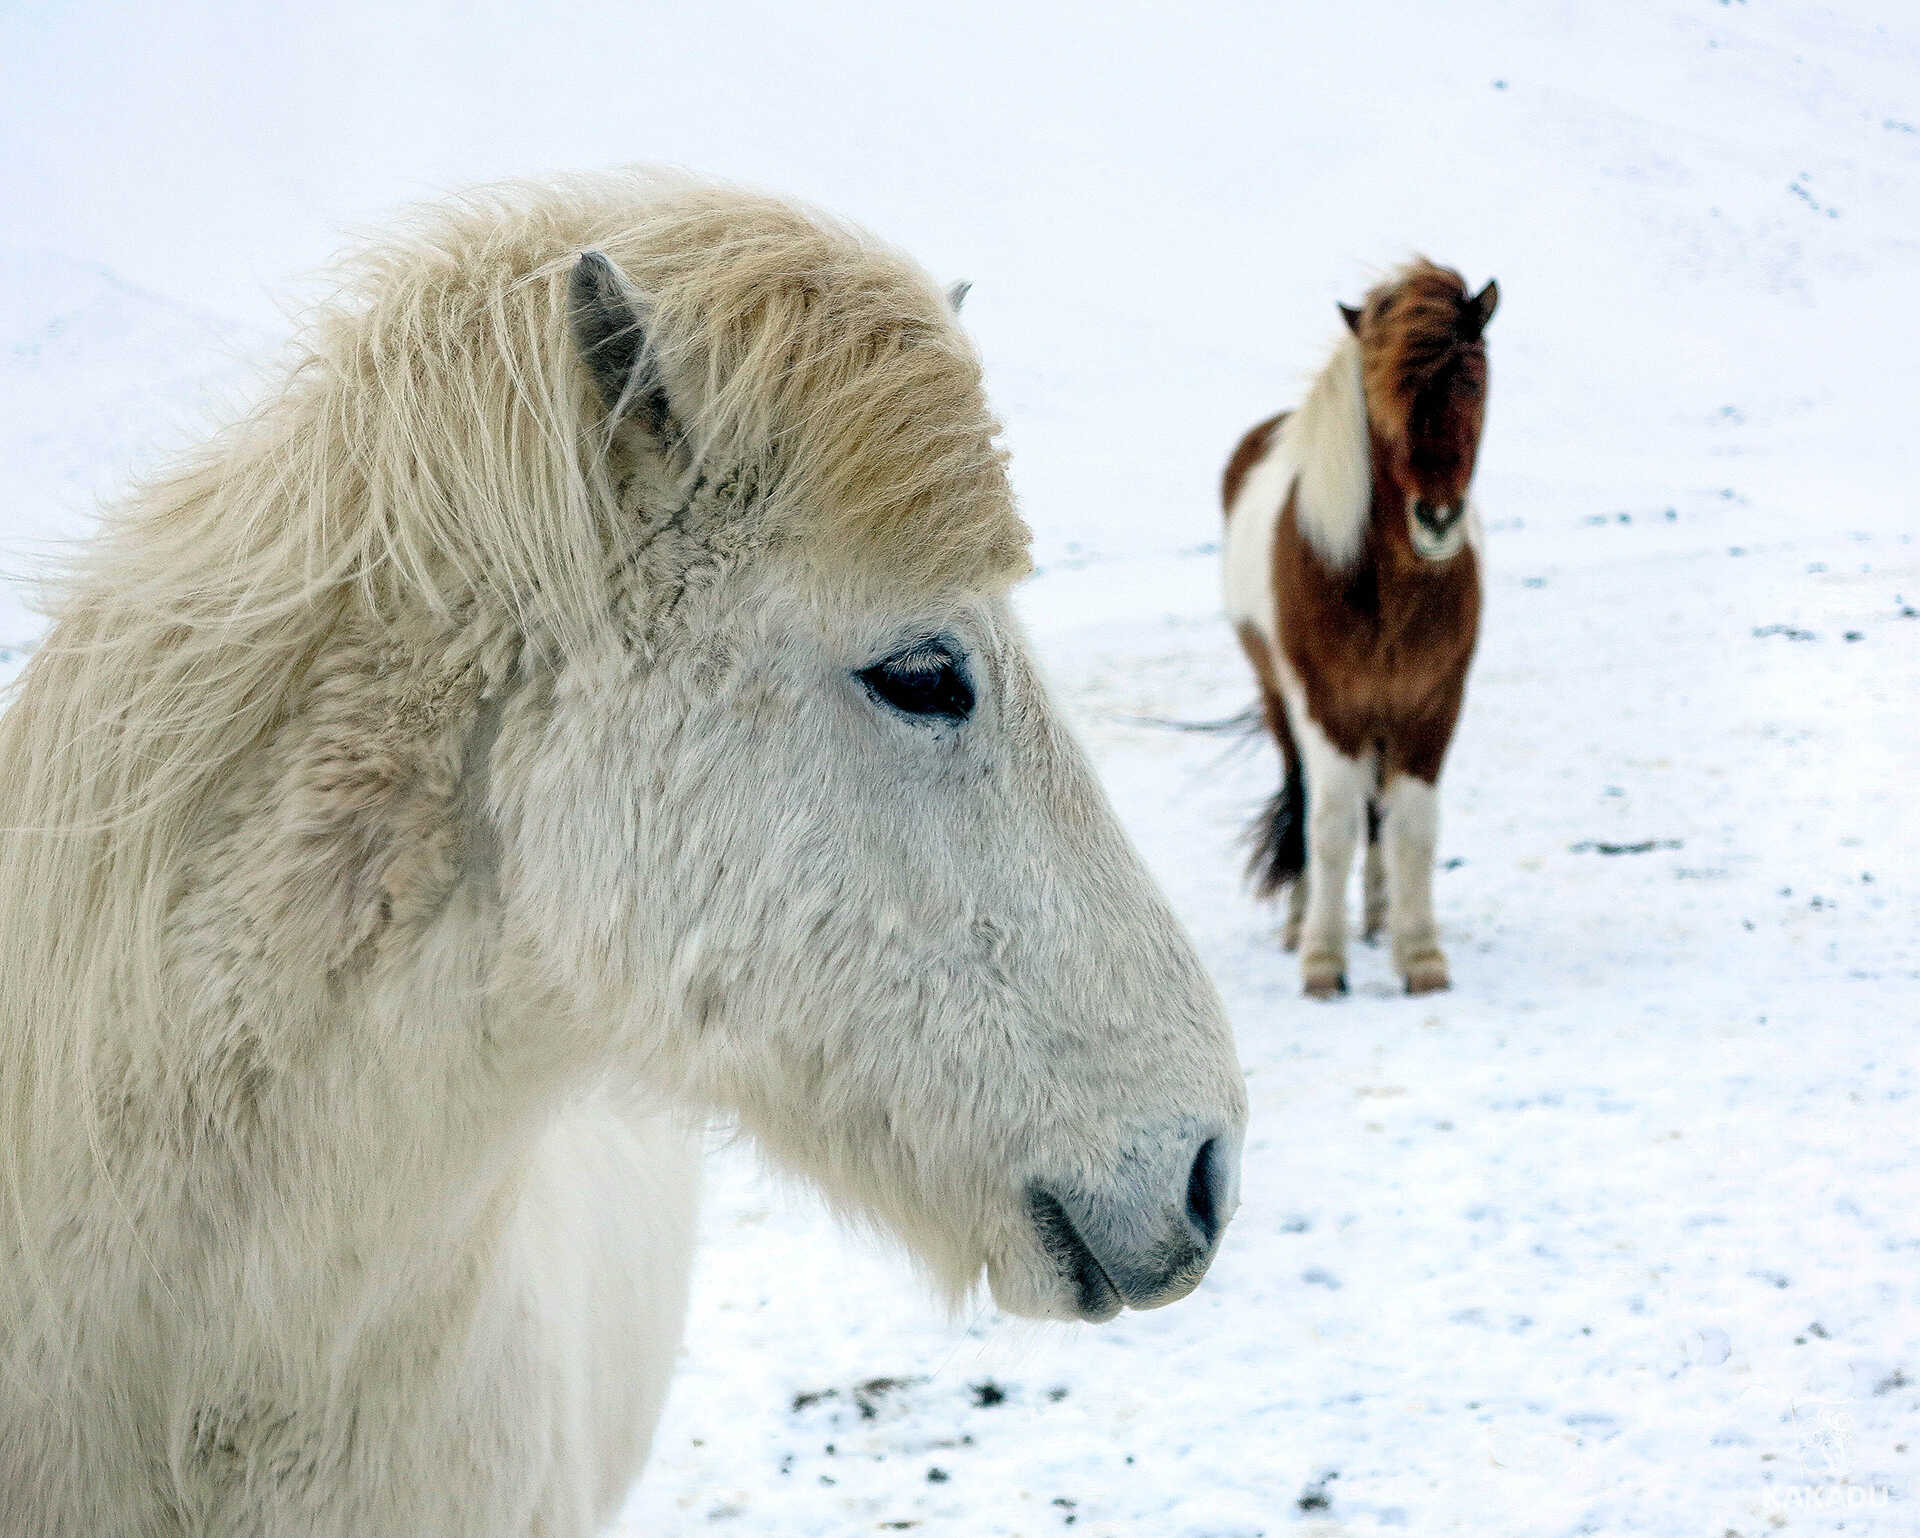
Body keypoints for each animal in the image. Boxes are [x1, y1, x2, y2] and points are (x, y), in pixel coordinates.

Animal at [1221, 257, 1489, 998]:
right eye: (1378, 390)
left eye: (1473, 376)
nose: (1437, 519)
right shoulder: (1327, 708)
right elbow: (1331, 824)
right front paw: (1322, 962)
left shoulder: (1432, 707)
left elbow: (1413, 828)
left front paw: (1420, 955)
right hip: (1281, 703)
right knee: (1305, 797)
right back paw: (1304, 922)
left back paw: (1374, 917)